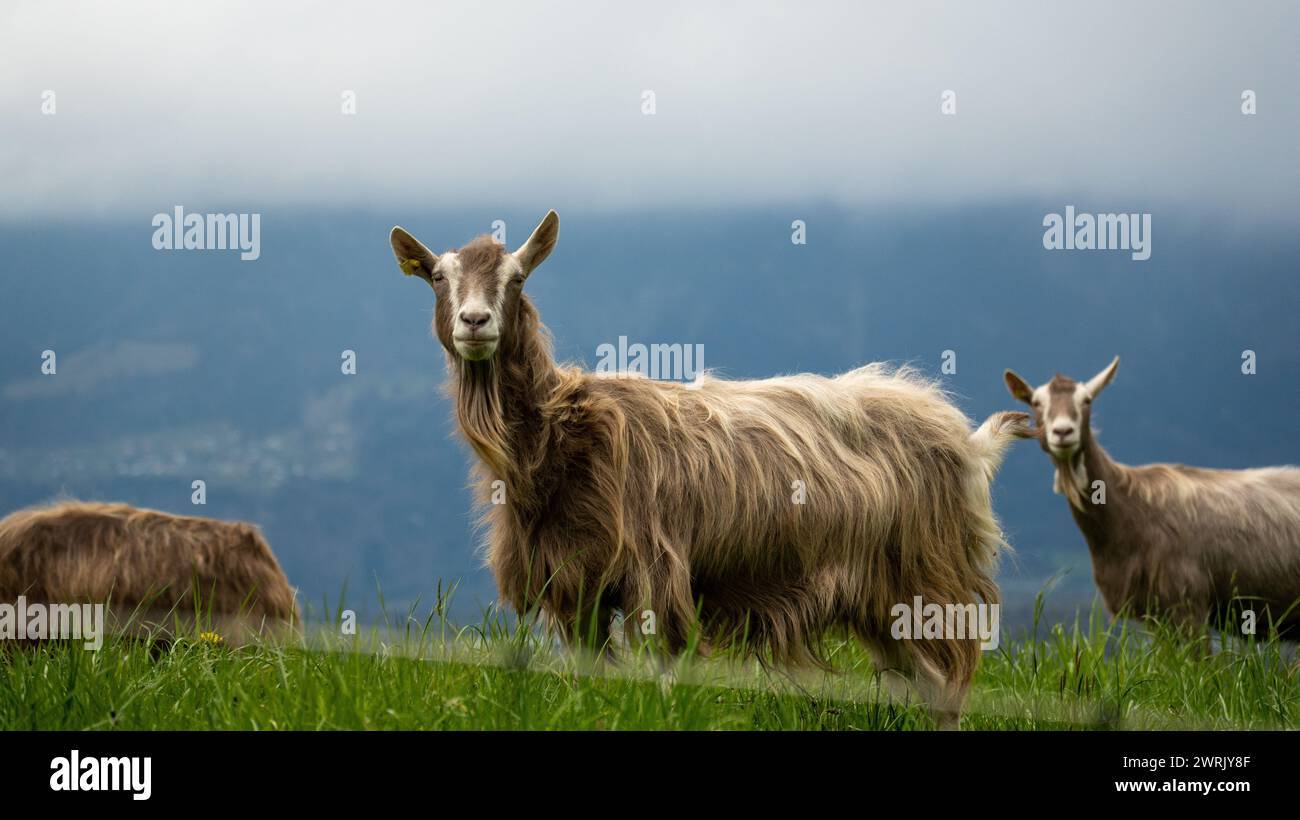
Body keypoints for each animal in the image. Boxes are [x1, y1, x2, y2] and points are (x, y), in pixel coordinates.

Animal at [391, 211, 1030, 727]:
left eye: (518, 277)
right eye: (439, 278)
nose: (475, 322)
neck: (561, 436)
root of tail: (969, 441)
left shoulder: (657, 571)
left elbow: (667, 676)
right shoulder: (575, 588)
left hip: (931, 576)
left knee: (945, 684)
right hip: (881, 596)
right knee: (913, 680)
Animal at [1004, 357, 1300, 638]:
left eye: (1087, 400)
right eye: (1036, 402)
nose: (1063, 432)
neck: (1133, 510)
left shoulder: (1187, 601)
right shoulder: (1156, 614)